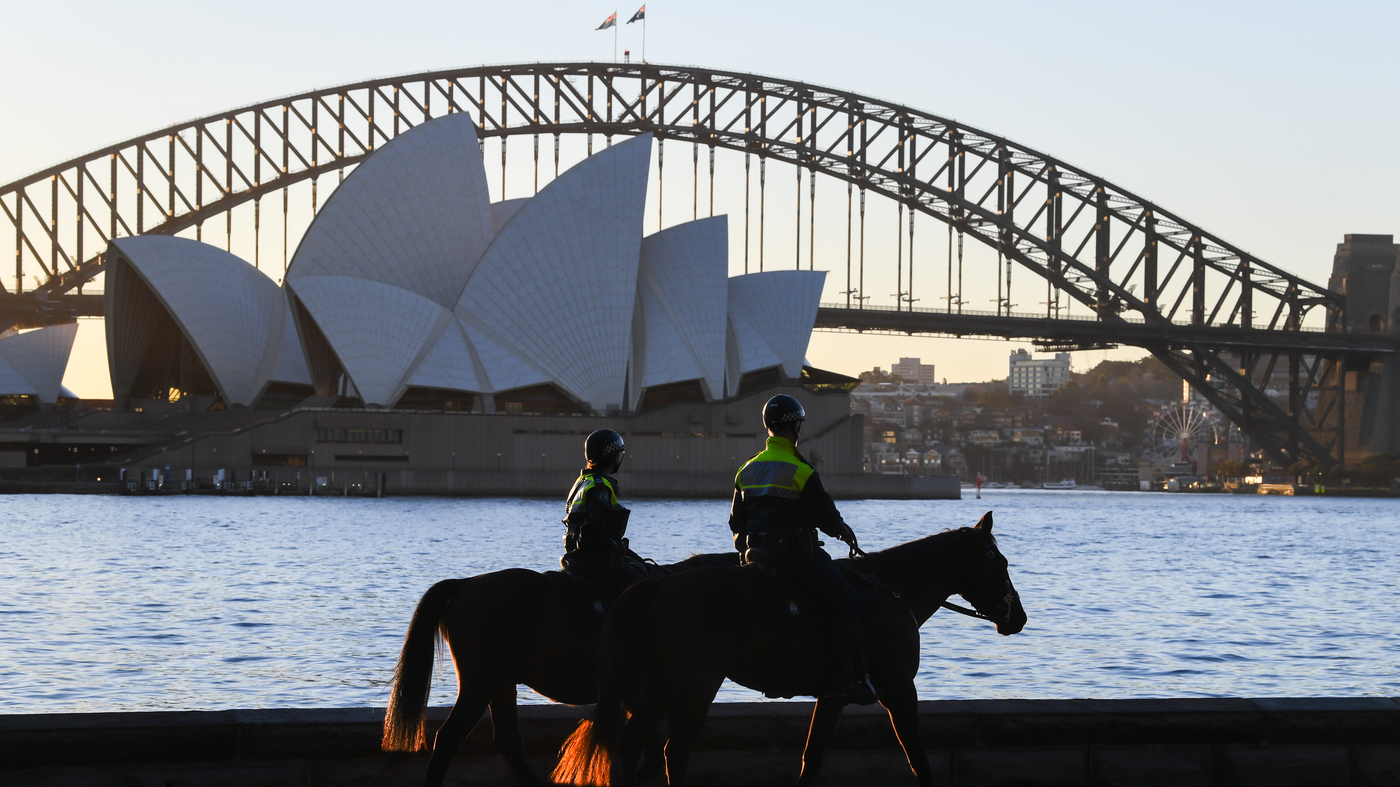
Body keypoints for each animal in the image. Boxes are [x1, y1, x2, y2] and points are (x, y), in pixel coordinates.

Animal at [551, 512, 1024, 778]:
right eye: (997, 560)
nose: (1017, 616)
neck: (892, 588)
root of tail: (656, 585)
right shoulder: (899, 690)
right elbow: (919, 760)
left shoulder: (833, 697)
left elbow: (811, 759)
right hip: (693, 688)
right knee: (673, 752)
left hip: (659, 688)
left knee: (633, 745)